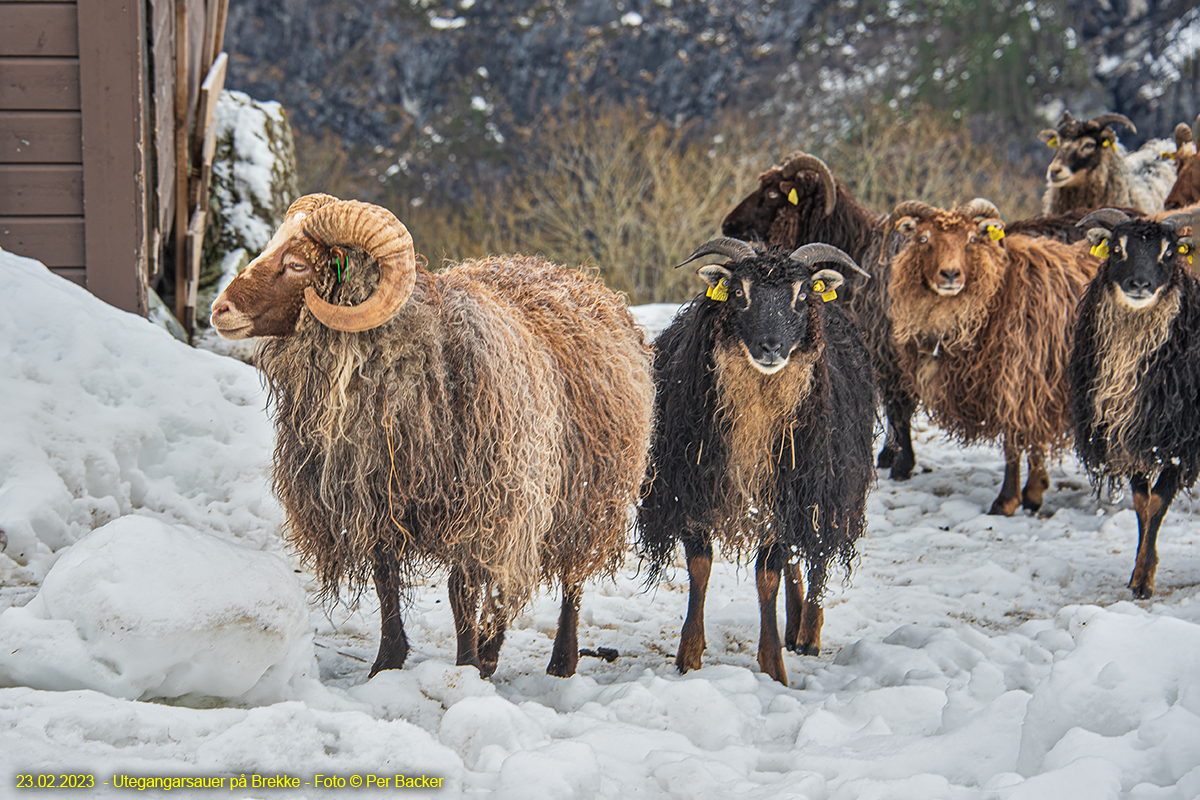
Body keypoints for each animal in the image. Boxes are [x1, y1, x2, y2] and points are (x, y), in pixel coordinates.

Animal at [210, 194, 652, 676]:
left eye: (297, 264)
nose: (219, 310)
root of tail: (581, 279)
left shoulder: (481, 504)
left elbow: (461, 591)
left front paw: (465, 667)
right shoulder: (378, 501)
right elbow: (385, 580)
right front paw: (388, 662)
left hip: (588, 494)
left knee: (570, 576)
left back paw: (560, 660)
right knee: (510, 578)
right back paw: (492, 651)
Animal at [633, 241, 878, 686]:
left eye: (802, 295)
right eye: (738, 293)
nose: (771, 347)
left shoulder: (789, 496)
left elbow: (768, 577)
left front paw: (773, 665)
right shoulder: (692, 489)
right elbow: (700, 568)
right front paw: (689, 654)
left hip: (827, 487)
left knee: (818, 556)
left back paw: (809, 632)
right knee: (798, 559)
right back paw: (794, 623)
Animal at [892, 196, 1099, 515]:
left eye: (971, 239)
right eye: (923, 238)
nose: (950, 275)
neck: (997, 294)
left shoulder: (1020, 381)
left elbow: (1014, 444)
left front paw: (1008, 500)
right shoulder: (1033, 387)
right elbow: (1032, 442)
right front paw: (1035, 491)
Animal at [1070, 209, 1200, 597]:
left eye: (1169, 253)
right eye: (1116, 249)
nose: (1139, 284)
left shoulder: (1179, 441)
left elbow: (1157, 503)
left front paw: (1145, 582)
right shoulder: (1131, 436)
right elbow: (1142, 504)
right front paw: (1138, 573)